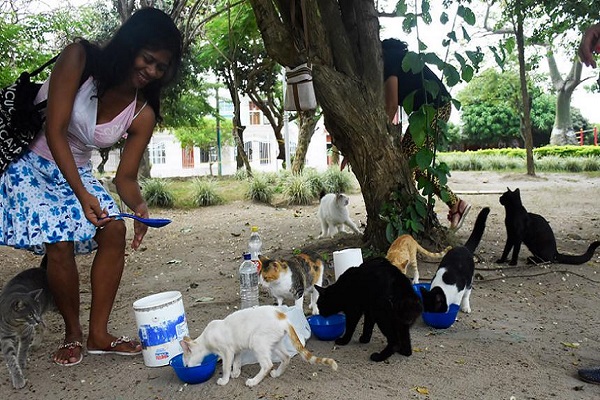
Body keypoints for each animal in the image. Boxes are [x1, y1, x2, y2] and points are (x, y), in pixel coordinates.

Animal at [0, 255, 53, 390]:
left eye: (35, 311)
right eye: (29, 314)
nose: (36, 319)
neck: (16, 324)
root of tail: (42, 268)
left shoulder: (26, 333)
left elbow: (22, 351)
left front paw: (21, 363)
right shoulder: (5, 337)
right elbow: (11, 359)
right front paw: (17, 377)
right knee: (42, 326)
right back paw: (36, 344)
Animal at [178, 306, 338, 388]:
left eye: (185, 365)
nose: (186, 368)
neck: (206, 339)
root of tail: (283, 318)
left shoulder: (227, 351)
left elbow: (226, 367)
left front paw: (225, 379)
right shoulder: (237, 349)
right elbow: (237, 362)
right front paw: (236, 372)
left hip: (258, 342)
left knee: (267, 364)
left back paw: (253, 381)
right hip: (273, 344)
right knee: (286, 357)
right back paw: (277, 373)